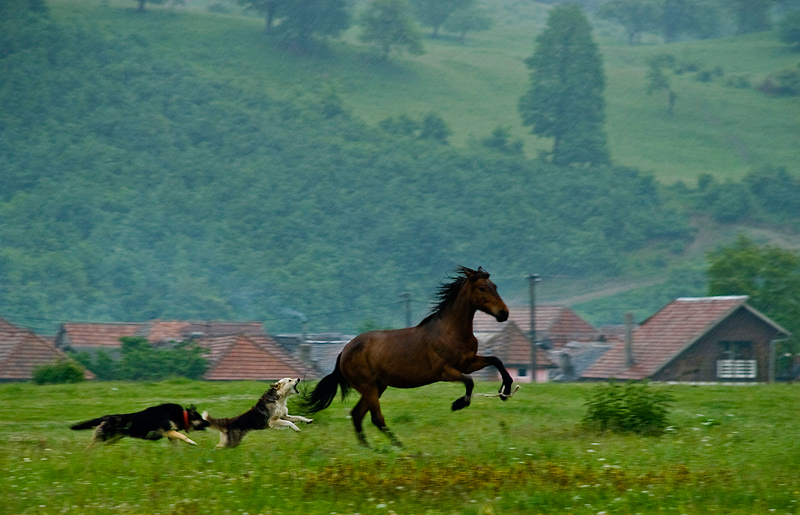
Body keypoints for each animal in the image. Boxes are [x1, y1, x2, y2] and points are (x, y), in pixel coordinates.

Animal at [304, 266, 516, 448]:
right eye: (482, 288)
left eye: (495, 286)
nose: (503, 313)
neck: (450, 330)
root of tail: (344, 352)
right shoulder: (444, 371)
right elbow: (470, 381)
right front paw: (458, 405)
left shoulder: (468, 362)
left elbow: (496, 360)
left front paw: (505, 391)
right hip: (369, 386)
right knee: (375, 418)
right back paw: (399, 446)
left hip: (377, 386)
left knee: (357, 415)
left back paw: (368, 448)